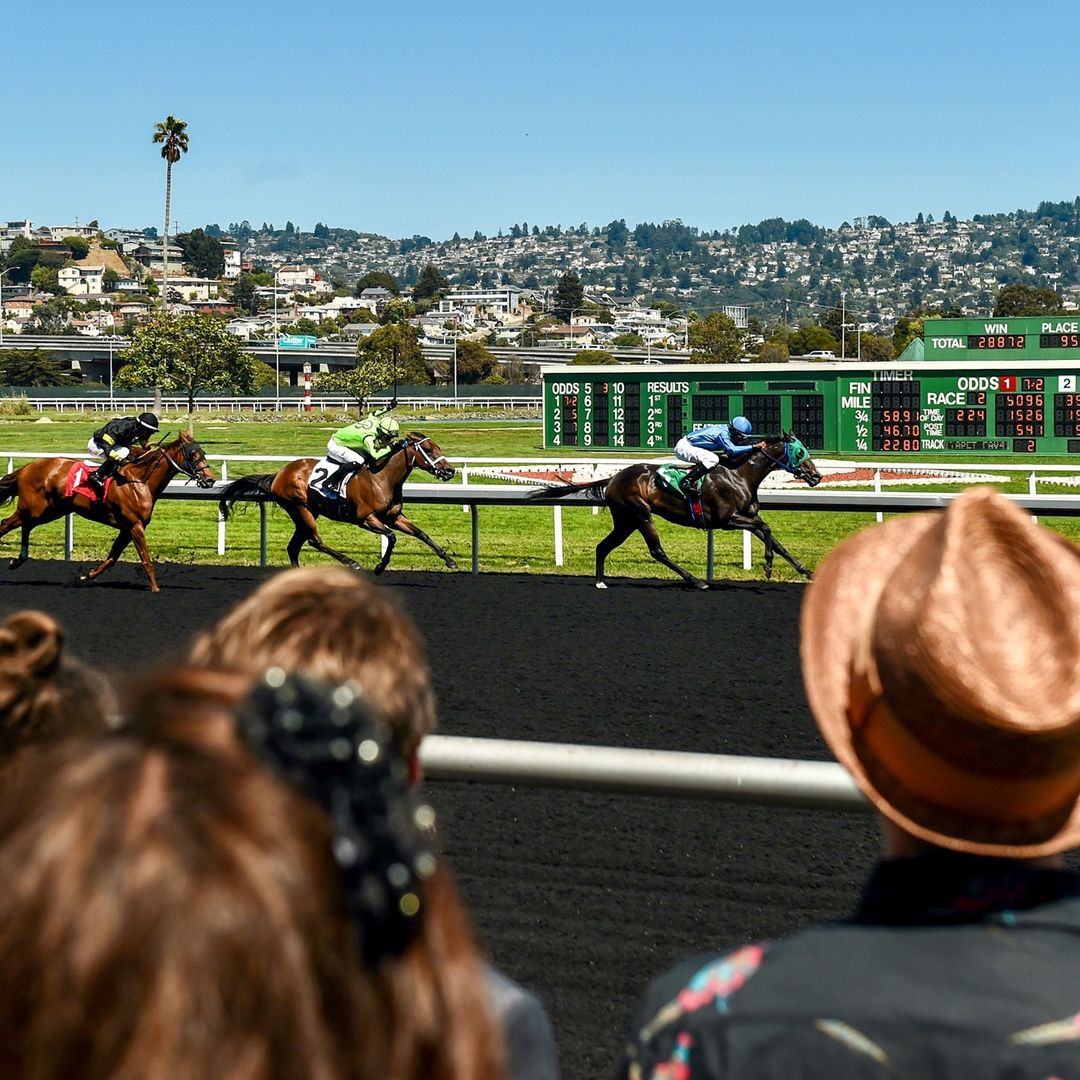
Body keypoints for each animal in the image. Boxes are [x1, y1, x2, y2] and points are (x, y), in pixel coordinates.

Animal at [0, 432, 216, 596]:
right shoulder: (135, 525)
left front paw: (87, 575)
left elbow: (113, 557)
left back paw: (18, 560)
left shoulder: (127, 528)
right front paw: (155, 589)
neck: (140, 481)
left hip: (48, 511)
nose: (210, 480)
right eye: (193, 454)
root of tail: (26, 468)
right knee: (5, 524)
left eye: (203, 452)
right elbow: (145, 558)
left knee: (25, 526)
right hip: (33, 508)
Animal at [217, 434, 457, 578]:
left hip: (307, 512)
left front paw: (450, 560)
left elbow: (421, 534)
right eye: (428, 449)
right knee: (314, 541)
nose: (449, 471)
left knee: (294, 546)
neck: (382, 479)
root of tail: (279, 474)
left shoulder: (394, 517)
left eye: (438, 447)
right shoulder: (365, 519)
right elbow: (391, 537)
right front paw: (379, 567)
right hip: (300, 508)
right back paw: (351, 562)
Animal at [527, 429, 820, 591]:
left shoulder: (748, 516)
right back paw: (697, 581)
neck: (739, 474)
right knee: (657, 551)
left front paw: (806, 571)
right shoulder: (728, 519)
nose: (816, 477)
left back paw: (600, 581)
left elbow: (775, 540)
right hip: (640, 514)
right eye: (799, 452)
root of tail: (613, 478)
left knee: (603, 546)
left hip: (626, 521)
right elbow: (767, 529)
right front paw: (768, 566)